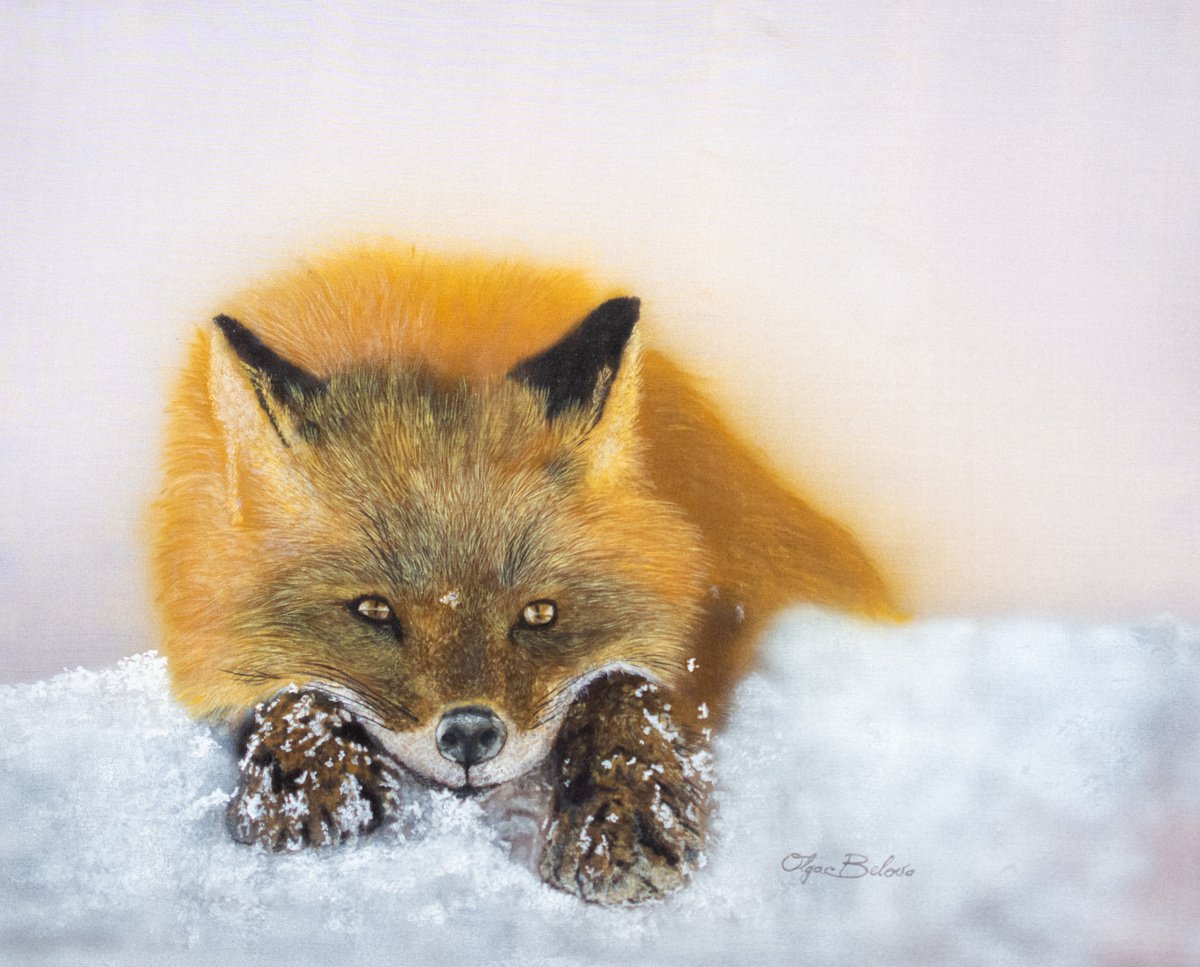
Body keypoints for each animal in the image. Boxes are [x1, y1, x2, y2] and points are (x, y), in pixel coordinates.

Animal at [151, 243, 897, 904]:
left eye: (539, 614)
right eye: (373, 611)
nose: (469, 735)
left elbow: (623, 686)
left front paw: (621, 818)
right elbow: (288, 691)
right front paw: (305, 773)